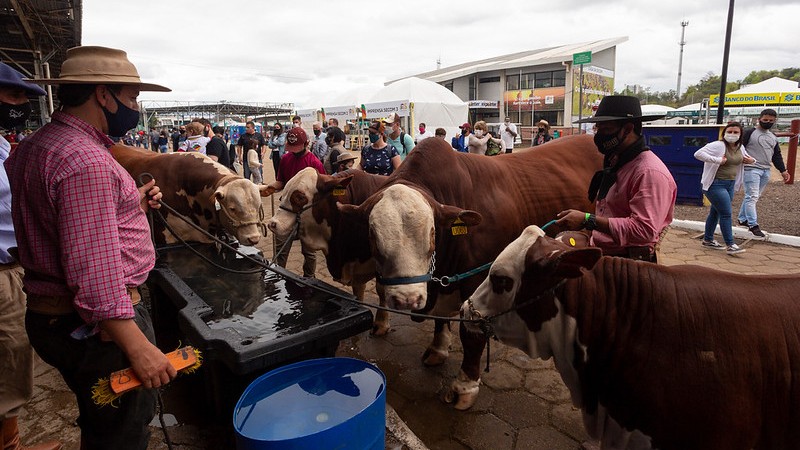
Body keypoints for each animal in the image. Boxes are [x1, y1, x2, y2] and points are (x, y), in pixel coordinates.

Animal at [334, 134, 604, 408]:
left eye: (432, 233)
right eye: (372, 234)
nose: (407, 299)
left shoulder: (478, 283)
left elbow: (471, 333)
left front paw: (464, 385)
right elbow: (441, 320)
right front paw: (438, 349)